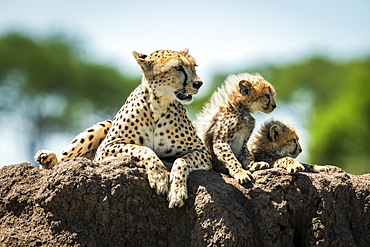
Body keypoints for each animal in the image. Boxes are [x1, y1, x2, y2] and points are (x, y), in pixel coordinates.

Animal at [36, 49, 214, 207]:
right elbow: (143, 149)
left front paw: (177, 192)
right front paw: (159, 176)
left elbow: (180, 161)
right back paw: (47, 158)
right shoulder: (107, 147)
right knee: (63, 161)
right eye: (178, 68)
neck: (159, 105)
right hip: (104, 124)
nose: (199, 83)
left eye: (194, 66)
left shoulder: (202, 151)